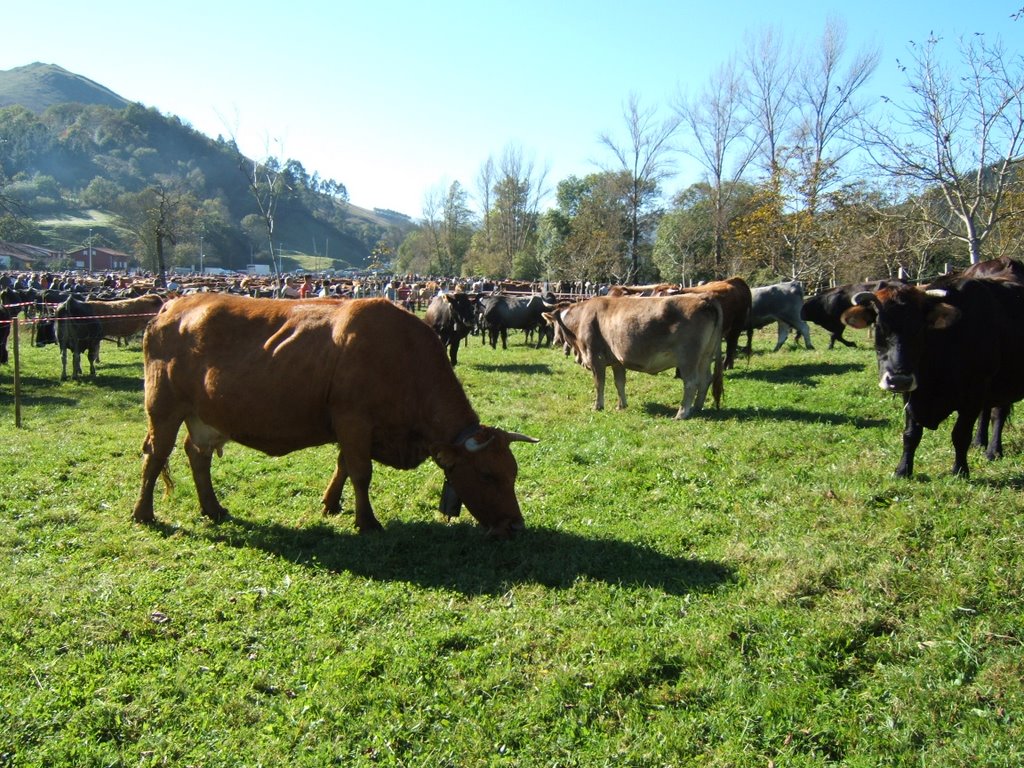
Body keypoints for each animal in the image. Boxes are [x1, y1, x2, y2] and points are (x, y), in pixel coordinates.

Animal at [132, 292, 540, 536]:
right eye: (487, 475)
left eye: (513, 472)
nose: (516, 525)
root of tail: (172, 305)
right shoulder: (353, 420)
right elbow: (360, 471)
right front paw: (367, 521)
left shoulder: (353, 428)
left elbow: (343, 465)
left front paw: (330, 504)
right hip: (163, 408)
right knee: (156, 455)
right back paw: (143, 513)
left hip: (205, 416)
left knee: (197, 455)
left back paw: (212, 508)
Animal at [548, 294, 724, 421]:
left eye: (553, 324)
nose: (555, 340)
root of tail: (704, 298)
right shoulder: (617, 361)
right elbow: (619, 383)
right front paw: (621, 405)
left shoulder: (595, 358)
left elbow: (599, 384)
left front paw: (598, 406)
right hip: (705, 356)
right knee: (705, 380)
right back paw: (697, 407)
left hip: (688, 358)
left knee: (691, 382)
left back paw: (681, 413)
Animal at [843, 276, 1024, 481]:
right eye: (879, 326)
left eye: (920, 328)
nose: (898, 380)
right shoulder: (913, 394)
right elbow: (911, 435)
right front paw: (903, 470)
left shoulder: (975, 391)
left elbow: (960, 434)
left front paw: (960, 470)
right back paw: (980, 443)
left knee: (997, 414)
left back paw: (993, 451)